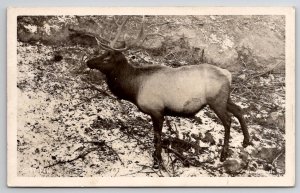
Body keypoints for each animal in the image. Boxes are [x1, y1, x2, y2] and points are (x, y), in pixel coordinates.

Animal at [83, 15, 250, 168]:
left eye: (107, 58)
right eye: (102, 54)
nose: (88, 62)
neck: (135, 89)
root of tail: (228, 75)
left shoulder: (157, 110)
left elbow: (157, 136)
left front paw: (158, 160)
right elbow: (155, 136)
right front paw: (155, 157)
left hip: (216, 100)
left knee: (228, 120)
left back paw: (224, 154)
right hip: (225, 98)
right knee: (239, 110)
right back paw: (246, 141)